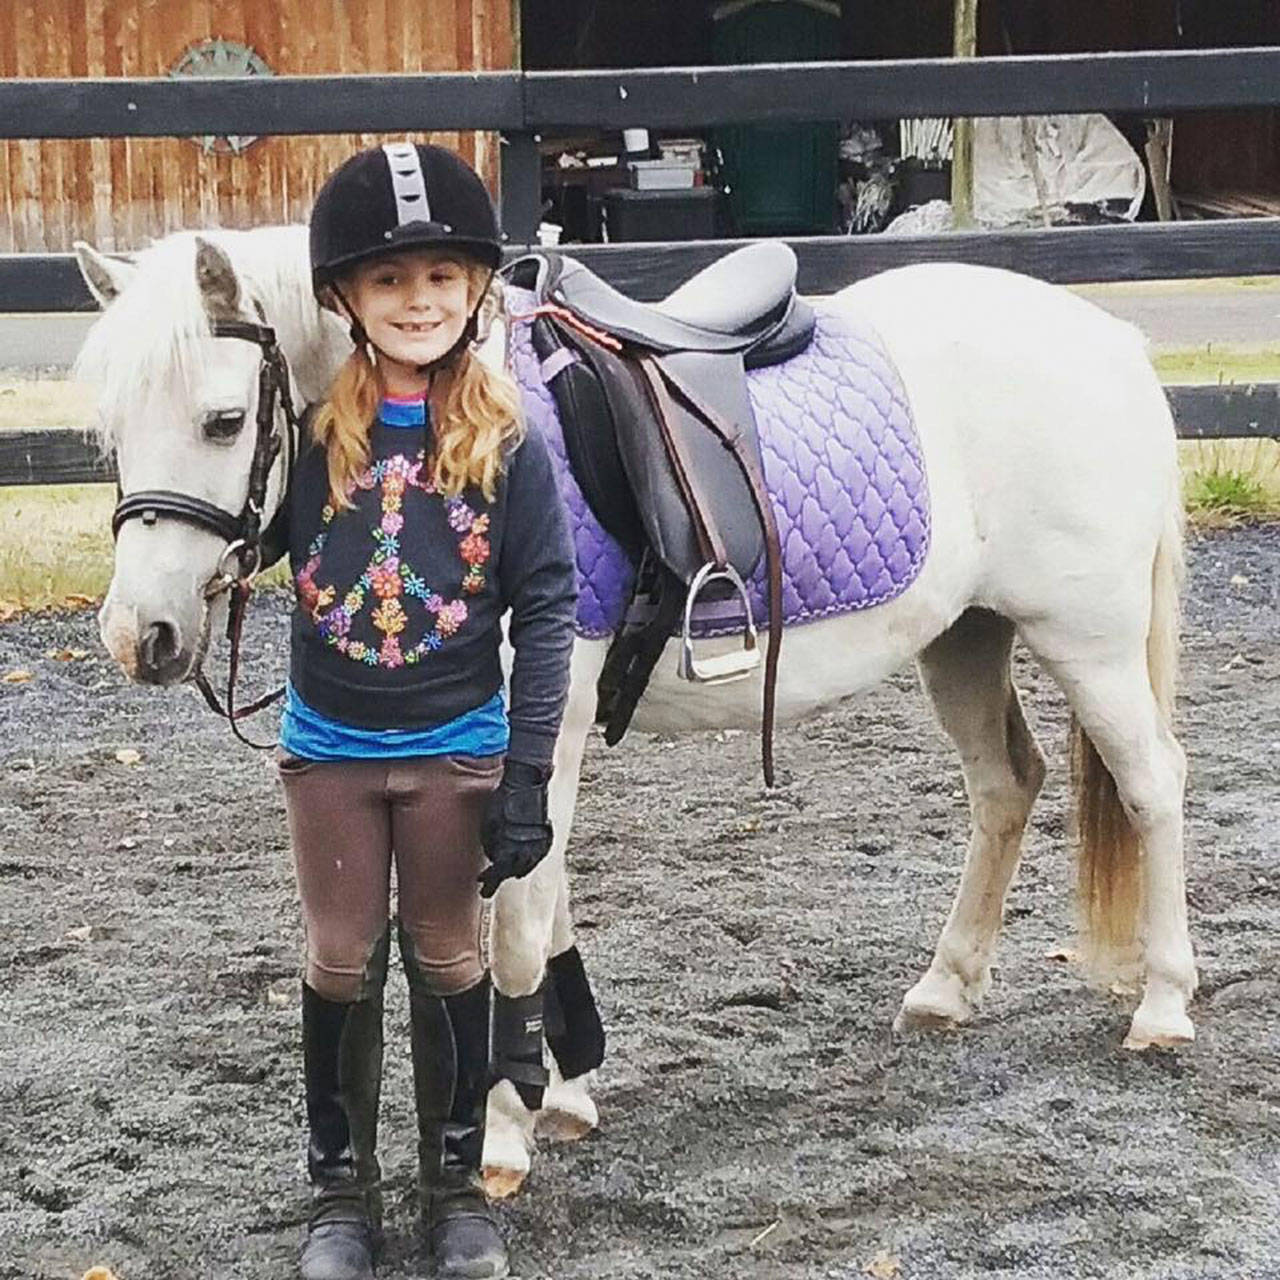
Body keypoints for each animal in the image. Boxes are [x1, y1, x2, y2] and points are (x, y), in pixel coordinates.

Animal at [73, 223, 1195, 1195]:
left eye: (223, 421)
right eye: (111, 432)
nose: (139, 635)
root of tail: (1108, 340)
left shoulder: (545, 725)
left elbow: (517, 924)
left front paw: (504, 1134)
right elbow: (547, 892)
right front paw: (565, 1084)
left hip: (1087, 641)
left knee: (1152, 786)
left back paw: (1162, 1005)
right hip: (964, 636)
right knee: (1006, 787)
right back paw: (946, 987)